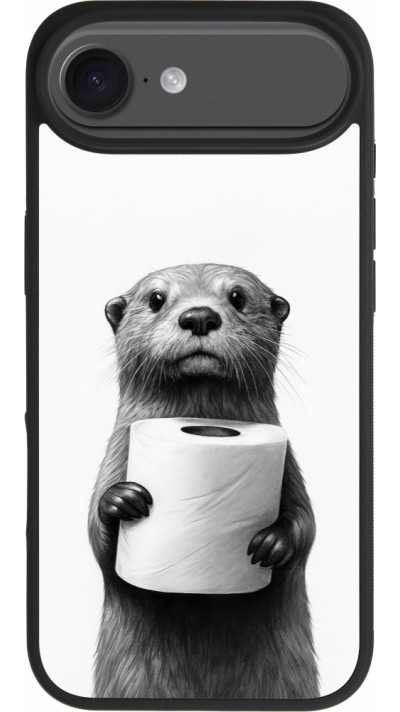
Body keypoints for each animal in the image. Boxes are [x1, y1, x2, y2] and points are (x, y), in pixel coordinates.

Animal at [88, 263, 318, 699]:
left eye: (238, 297)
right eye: (156, 299)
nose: (199, 316)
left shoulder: (290, 468)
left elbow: (307, 524)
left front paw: (273, 542)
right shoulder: (115, 457)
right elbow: (96, 536)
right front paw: (121, 501)